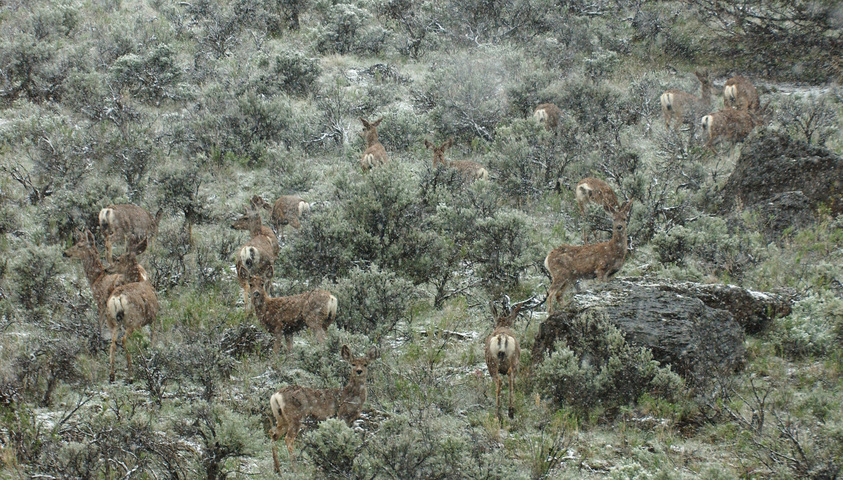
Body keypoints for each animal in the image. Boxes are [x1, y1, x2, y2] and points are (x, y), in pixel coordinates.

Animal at [103, 248, 158, 382]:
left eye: (118, 259)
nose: (107, 269)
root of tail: (117, 297)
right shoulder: (153, 318)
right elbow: (151, 338)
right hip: (132, 323)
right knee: (125, 340)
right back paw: (131, 375)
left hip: (113, 323)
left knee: (113, 344)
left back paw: (112, 376)